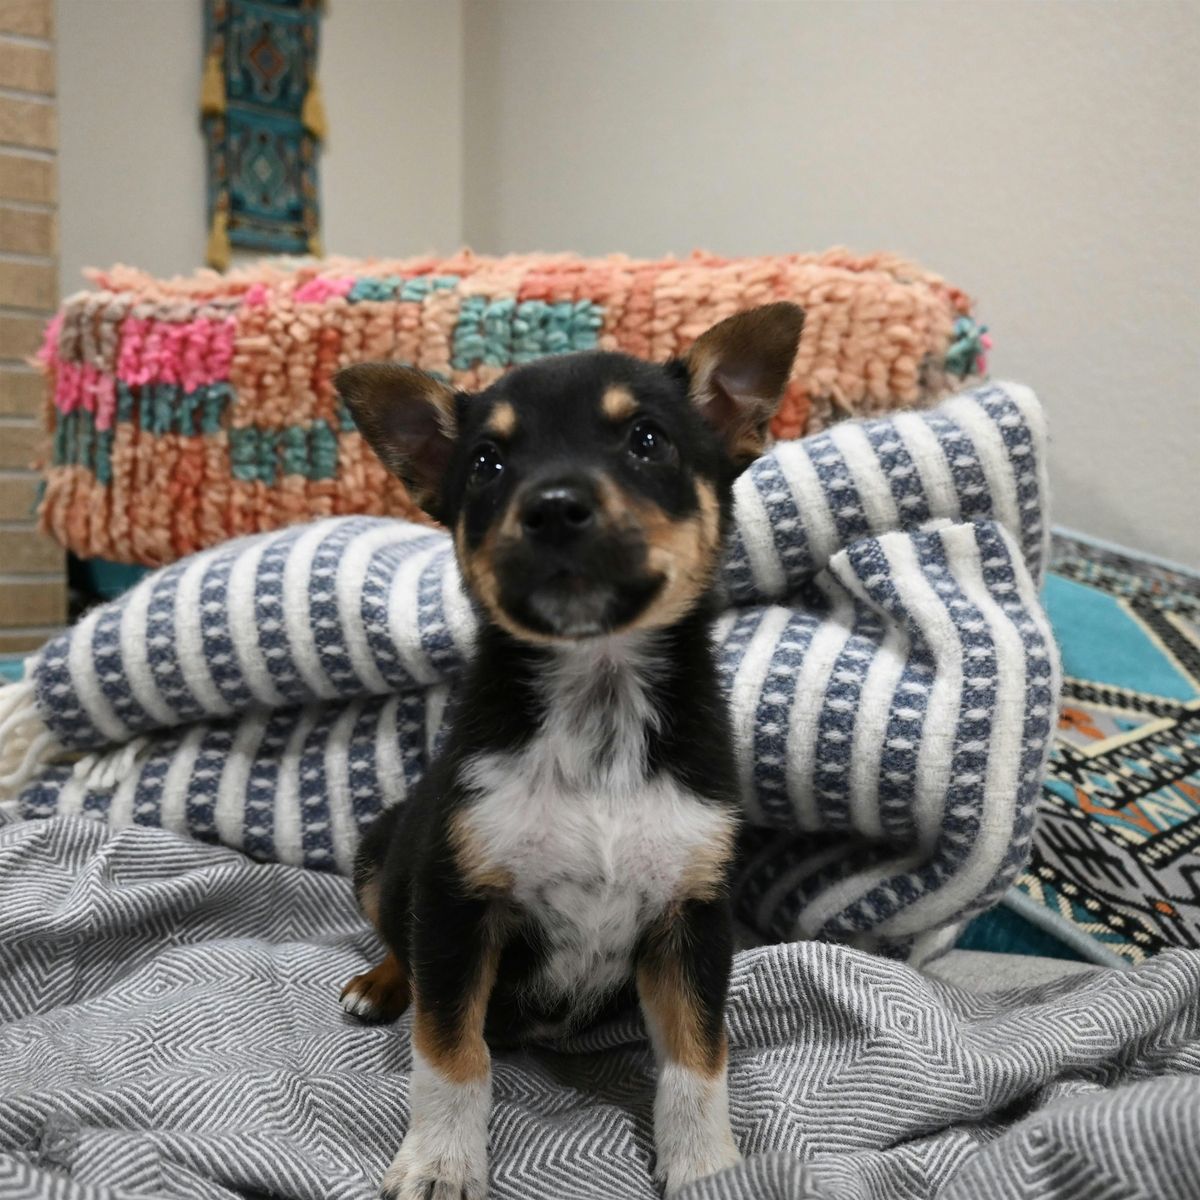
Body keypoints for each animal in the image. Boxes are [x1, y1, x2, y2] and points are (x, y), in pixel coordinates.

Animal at [336, 302, 806, 1200]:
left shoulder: (692, 919)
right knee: (396, 943)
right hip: (384, 854)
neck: (598, 695)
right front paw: (440, 1163)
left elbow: (698, 1060)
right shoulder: (455, 903)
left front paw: (705, 1167)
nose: (553, 506)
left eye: (648, 441)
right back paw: (378, 984)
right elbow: (450, 1051)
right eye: (487, 464)